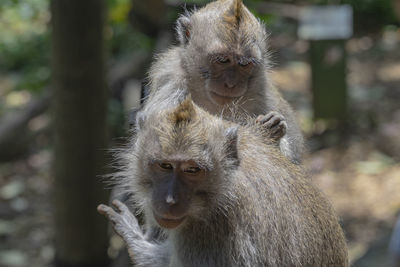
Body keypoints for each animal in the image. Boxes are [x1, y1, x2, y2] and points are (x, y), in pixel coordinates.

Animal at [142, 0, 304, 164]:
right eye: (222, 60)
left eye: (244, 64)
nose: (231, 84)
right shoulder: (171, 82)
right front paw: (262, 131)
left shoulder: (262, 93)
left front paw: (273, 130)